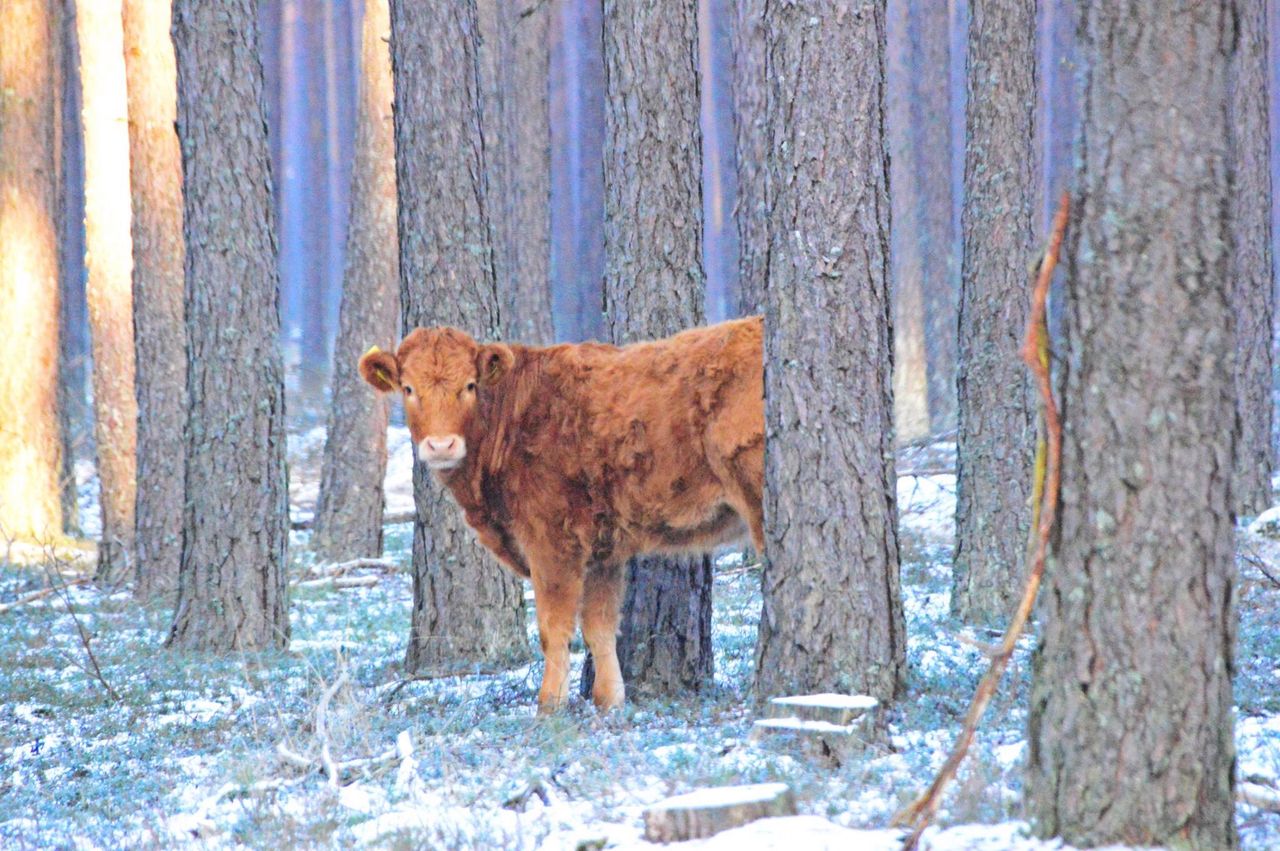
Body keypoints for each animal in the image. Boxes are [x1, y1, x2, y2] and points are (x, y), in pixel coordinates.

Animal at [355, 314, 762, 711]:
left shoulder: (550, 540)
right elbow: (599, 627)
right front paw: (609, 701)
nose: (441, 445)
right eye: (408, 388)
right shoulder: (602, 550)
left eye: (469, 385)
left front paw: (549, 704)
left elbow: (554, 629)